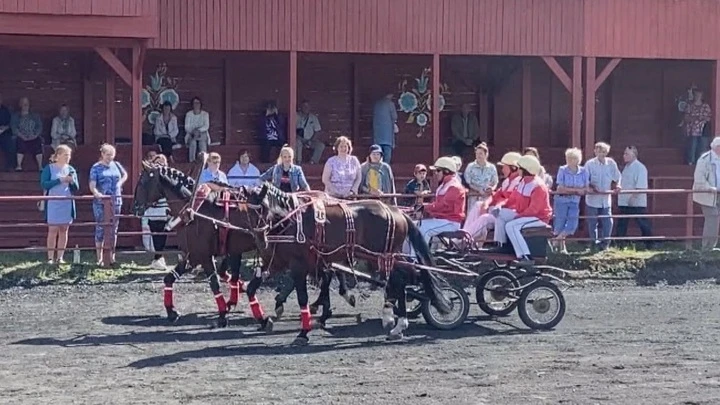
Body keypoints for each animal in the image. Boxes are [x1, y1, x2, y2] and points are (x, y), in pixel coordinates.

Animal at [242, 183, 450, 344]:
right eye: (247, 211)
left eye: (263, 208)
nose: (260, 239)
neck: (291, 221)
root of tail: (396, 211)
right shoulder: (275, 262)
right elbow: (251, 288)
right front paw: (264, 320)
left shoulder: (299, 265)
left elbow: (302, 298)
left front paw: (303, 332)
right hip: (387, 256)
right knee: (405, 276)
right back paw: (395, 321)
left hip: (383, 256)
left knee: (401, 278)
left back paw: (398, 321)